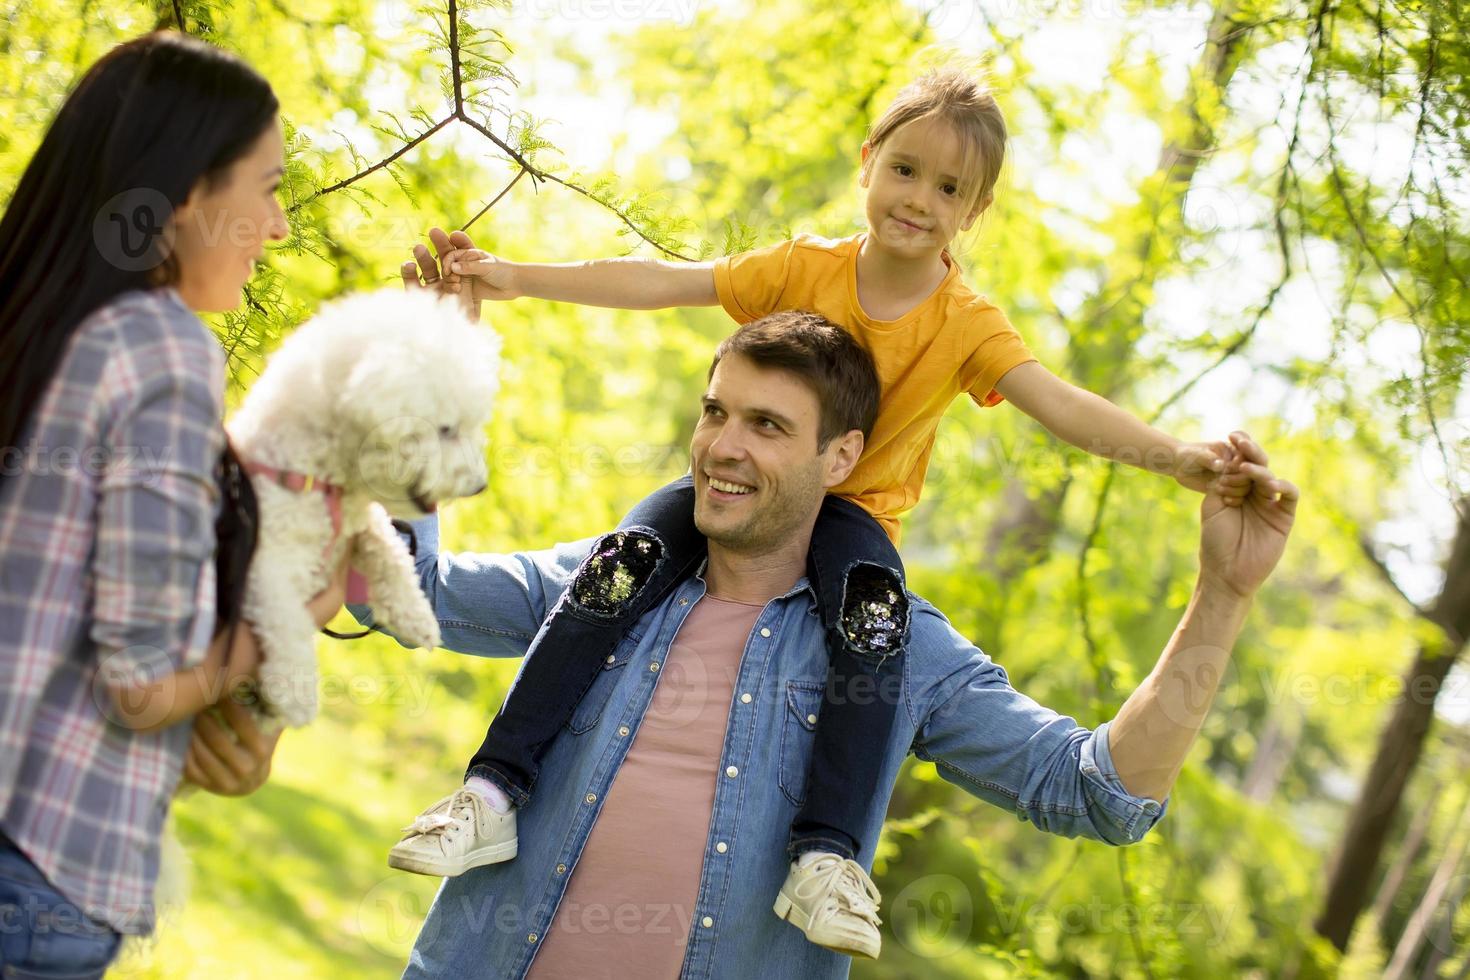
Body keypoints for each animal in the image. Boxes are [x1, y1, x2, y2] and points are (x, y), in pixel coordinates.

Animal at [227, 287, 499, 725]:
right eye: (446, 429)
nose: (479, 486)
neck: (327, 480)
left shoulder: (364, 525)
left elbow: (391, 555)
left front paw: (415, 616)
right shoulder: (264, 559)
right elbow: (285, 615)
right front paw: (295, 689)